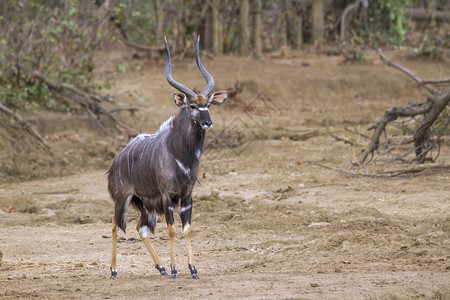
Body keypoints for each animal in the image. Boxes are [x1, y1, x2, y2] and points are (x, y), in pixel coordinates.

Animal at [107, 37, 227, 278]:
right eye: (192, 105)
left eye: (208, 105)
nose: (208, 122)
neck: (180, 155)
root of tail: (117, 159)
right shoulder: (166, 196)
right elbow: (172, 230)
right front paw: (174, 269)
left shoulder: (187, 196)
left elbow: (187, 229)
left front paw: (192, 269)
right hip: (122, 198)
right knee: (115, 225)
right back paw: (114, 270)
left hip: (145, 204)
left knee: (141, 228)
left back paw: (160, 267)